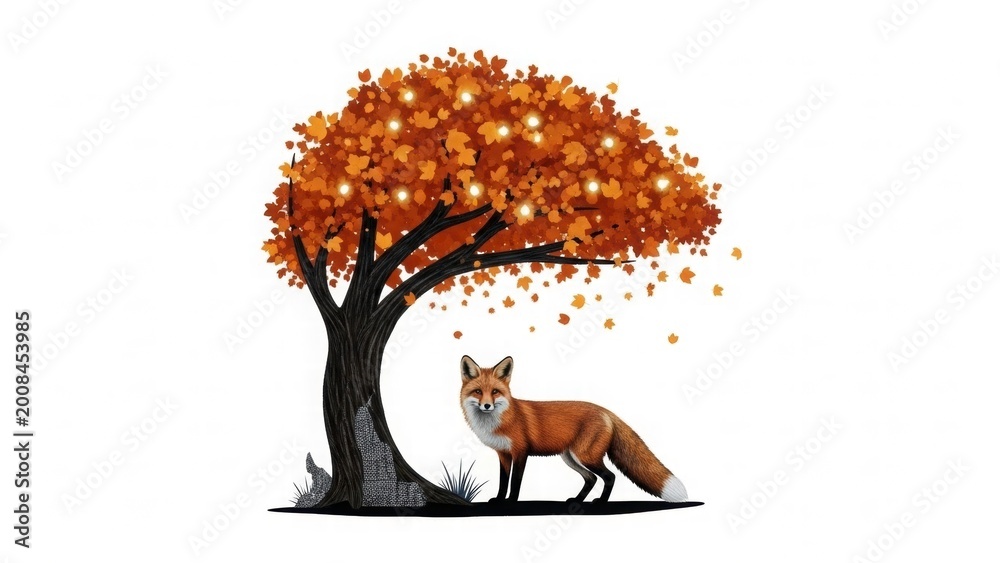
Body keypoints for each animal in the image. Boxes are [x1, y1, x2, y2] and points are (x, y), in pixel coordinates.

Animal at [459, 355, 688, 503]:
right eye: (478, 392)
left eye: (495, 392)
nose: (486, 406)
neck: (500, 420)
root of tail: (606, 411)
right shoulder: (504, 454)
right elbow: (503, 481)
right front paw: (499, 499)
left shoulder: (520, 452)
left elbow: (515, 482)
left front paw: (511, 502)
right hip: (570, 457)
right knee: (591, 478)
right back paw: (577, 500)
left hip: (585, 456)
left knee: (609, 477)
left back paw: (600, 502)